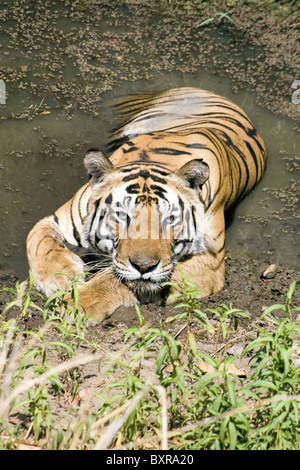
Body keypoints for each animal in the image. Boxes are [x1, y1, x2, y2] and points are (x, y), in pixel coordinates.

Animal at [27, 87, 266, 320]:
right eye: (122, 216)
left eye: (170, 219)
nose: (144, 267)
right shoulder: (57, 220)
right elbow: (40, 242)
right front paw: (59, 276)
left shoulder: (210, 261)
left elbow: (115, 279)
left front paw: (77, 303)